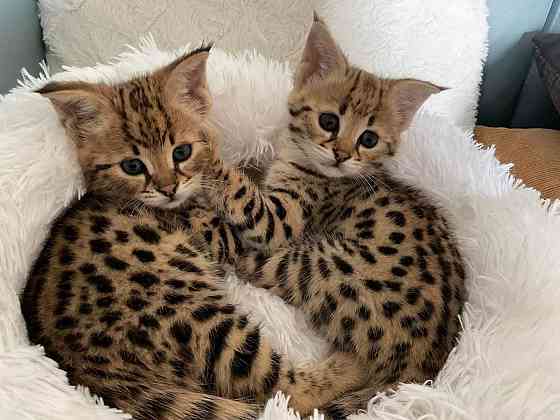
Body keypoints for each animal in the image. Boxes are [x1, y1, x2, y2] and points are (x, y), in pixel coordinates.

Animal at [20, 46, 368, 420]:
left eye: (181, 152)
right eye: (132, 166)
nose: (168, 188)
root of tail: (81, 371)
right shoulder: (227, 236)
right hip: (200, 319)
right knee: (284, 391)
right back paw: (353, 365)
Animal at [214, 17, 468, 420]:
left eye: (369, 139)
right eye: (329, 120)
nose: (342, 154)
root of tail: (426, 366)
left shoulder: (280, 223)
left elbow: (242, 193)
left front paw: (206, 160)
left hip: (320, 263)